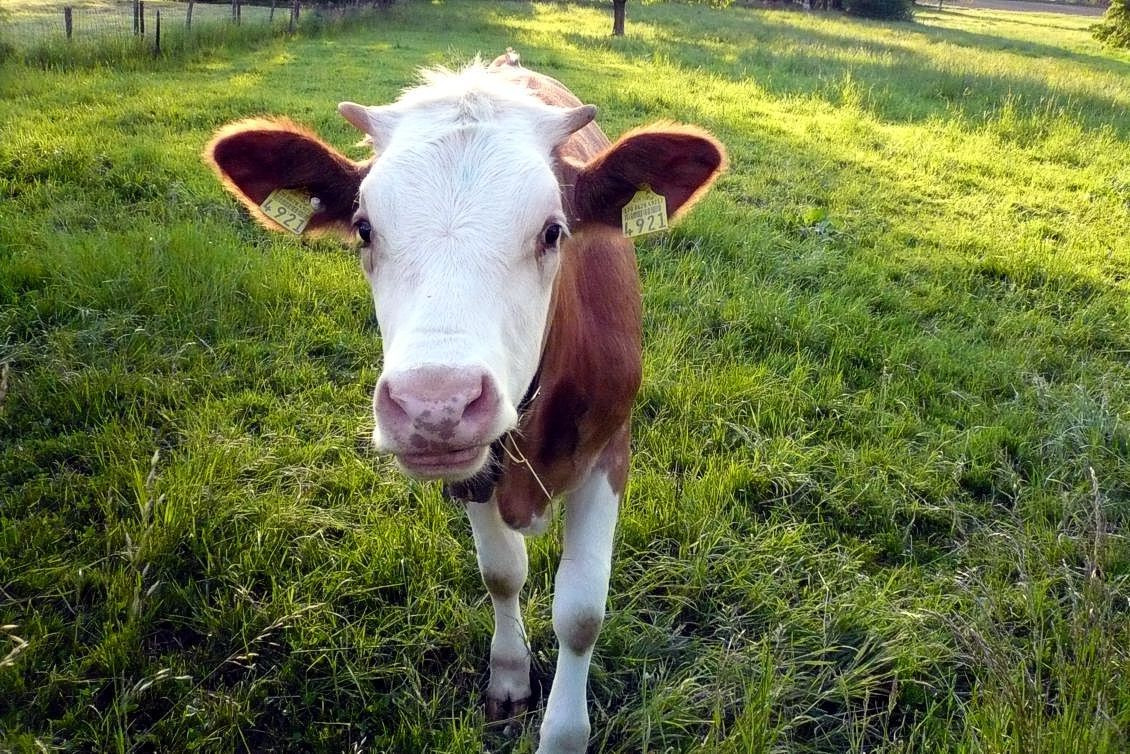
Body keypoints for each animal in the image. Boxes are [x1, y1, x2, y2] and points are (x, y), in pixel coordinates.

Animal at [205, 50, 725, 753]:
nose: (435, 405)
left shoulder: (611, 448)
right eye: (364, 229)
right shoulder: (473, 470)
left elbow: (581, 612)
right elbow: (502, 572)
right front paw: (509, 675)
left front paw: (564, 732)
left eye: (553, 231)